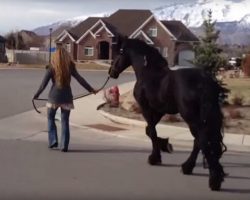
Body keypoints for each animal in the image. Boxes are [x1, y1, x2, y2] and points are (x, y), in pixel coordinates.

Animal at [108, 37, 228, 191]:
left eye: (120, 52)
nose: (111, 72)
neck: (149, 73)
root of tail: (204, 80)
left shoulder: (146, 108)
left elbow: (152, 131)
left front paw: (154, 157)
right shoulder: (160, 110)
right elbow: (149, 130)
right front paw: (165, 145)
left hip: (191, 117)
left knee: (201, 140)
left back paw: (213, 179)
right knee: (199, 141)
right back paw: (189, 167)